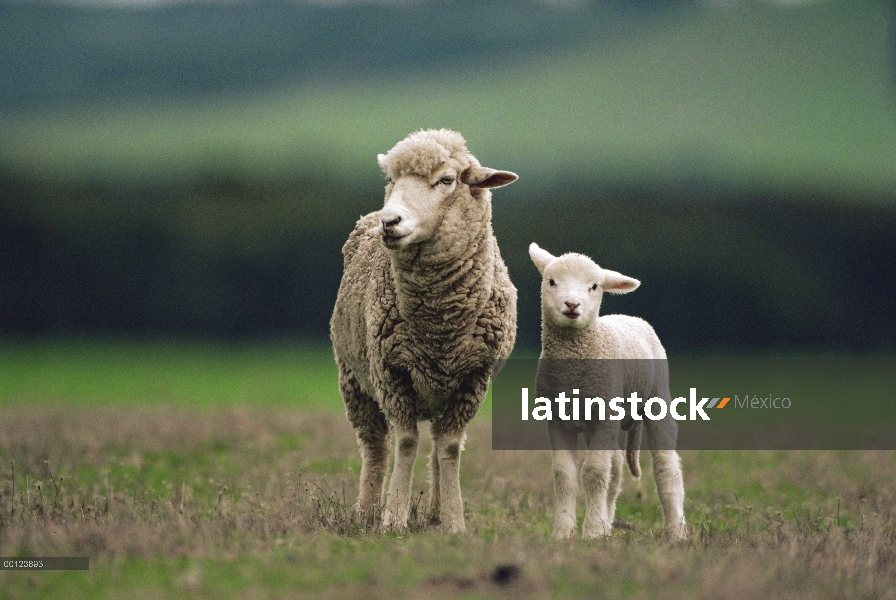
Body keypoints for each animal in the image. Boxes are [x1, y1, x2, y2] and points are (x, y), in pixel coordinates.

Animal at [330, 129, 520, 532]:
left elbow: (448, 448)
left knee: (439, 445)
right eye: (390, 180)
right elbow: (404, 443)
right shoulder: (392, 372)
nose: (390, 222)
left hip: (440, 392)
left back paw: (434, 514)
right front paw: (393, 519)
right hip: (354, 380)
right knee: (375, 447)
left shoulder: (473, 379)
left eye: (446, 180)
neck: (440, 325)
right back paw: (367, 513)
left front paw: (454, 521)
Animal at [528, 241, 688, 540]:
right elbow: (564, 475)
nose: (572, 304)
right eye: (551, 281)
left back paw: (676, 531)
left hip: (657, 398)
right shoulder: (557, 419)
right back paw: (607, 521)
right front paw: (564, 532)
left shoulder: (604, 417)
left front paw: (590, 532)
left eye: (594, 286)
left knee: (666, 468)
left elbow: (593, 472)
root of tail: (630, 317)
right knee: (615, 469)